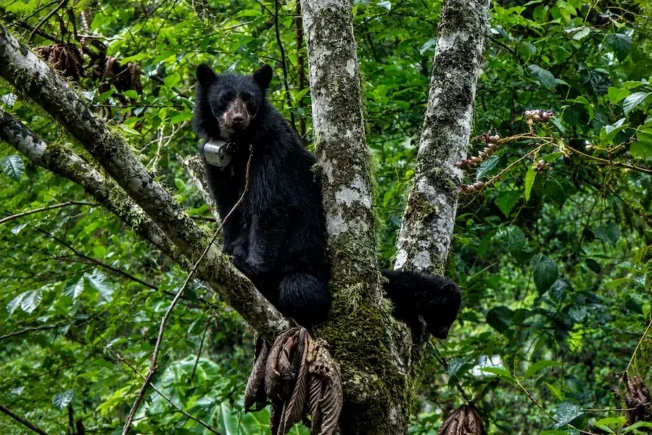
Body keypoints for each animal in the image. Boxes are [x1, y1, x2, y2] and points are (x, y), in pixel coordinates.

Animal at [193, 63, 461, 337]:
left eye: (249, 99)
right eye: (224, 98)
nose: (237, 119)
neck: (238, 146)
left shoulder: (272, 149)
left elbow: (270, 208)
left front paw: (250, 268)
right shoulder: (213, 161)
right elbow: (228, 210)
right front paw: (228, 251)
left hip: (307, 267)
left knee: (300, 290)